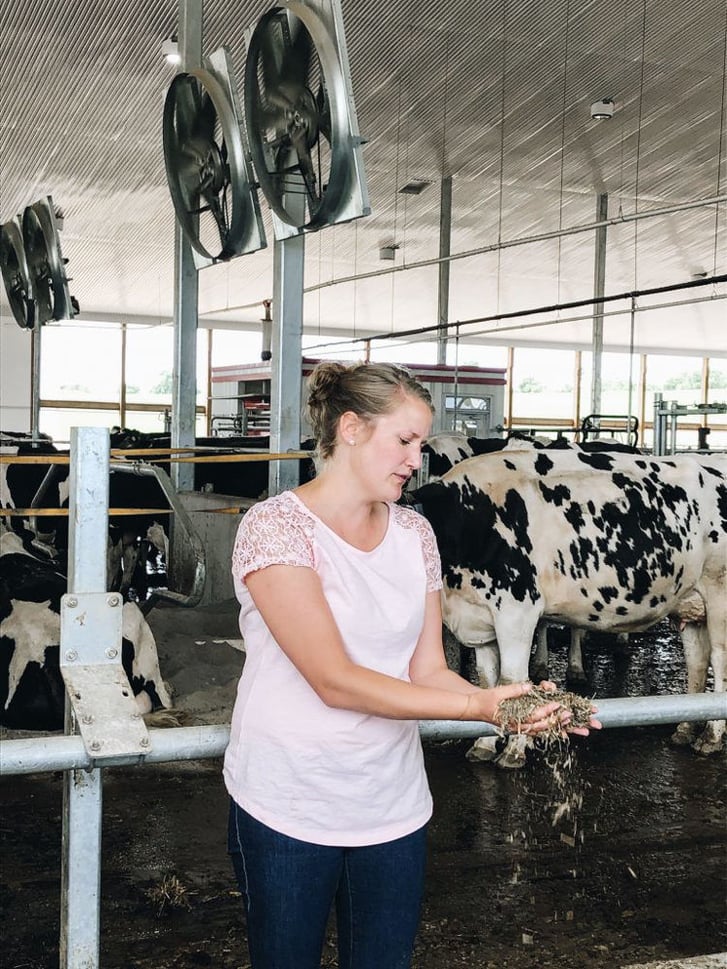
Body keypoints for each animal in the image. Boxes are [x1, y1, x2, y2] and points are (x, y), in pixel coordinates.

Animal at [416, 450, 727, 760]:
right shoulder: (479, 619)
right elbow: (487, 681)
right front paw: (484, 744)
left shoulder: (517, 611)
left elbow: (514, 681)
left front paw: (514, 751)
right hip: (691, 604)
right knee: (697, 662)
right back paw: (685, 728)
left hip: (719, 597)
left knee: (719, 662)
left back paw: (711, 736)